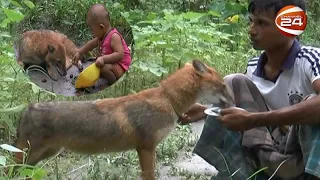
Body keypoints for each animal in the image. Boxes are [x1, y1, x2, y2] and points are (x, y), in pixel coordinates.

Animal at [13, 59, 232, 180]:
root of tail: (27, 108)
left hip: (41, 156)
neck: (167, 99)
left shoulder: (146, 149)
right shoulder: (146, 148)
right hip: (29, 156)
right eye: (222, 86)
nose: (232, 102)